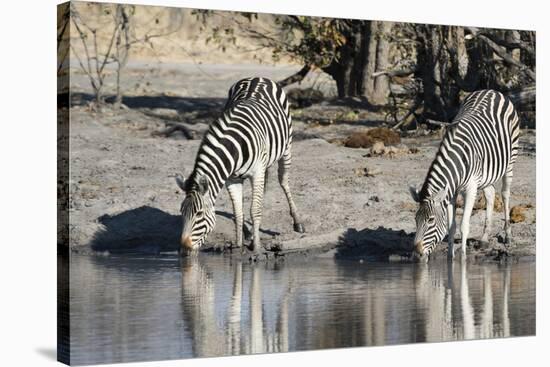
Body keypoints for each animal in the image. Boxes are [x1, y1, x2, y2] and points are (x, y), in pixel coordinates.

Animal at [176, 77, 306, 256]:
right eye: (181, 212)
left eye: (199, 214)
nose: (184, 250)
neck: (234, 149)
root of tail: (257, 77)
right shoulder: (232, 179)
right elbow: (238, 213)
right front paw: (238, 245)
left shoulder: (257, 172)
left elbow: (254, 210)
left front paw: (256, 247)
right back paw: (251, 231)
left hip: (286, 148)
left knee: (283, 181)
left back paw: (297, 222)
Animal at [410, 90, 520, 260]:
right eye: (416, 219)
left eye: (431, 220)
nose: (417, 255)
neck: (458, 160)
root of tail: (491, 91)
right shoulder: (451, 192)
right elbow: (451, 227)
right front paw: (450, 258)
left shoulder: (470, 188)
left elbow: (464, 226)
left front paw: (463, 258)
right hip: (487, 174)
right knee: (490, 194)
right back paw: (484, 238)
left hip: (510, 162)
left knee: (505, 194)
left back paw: (507, 235)